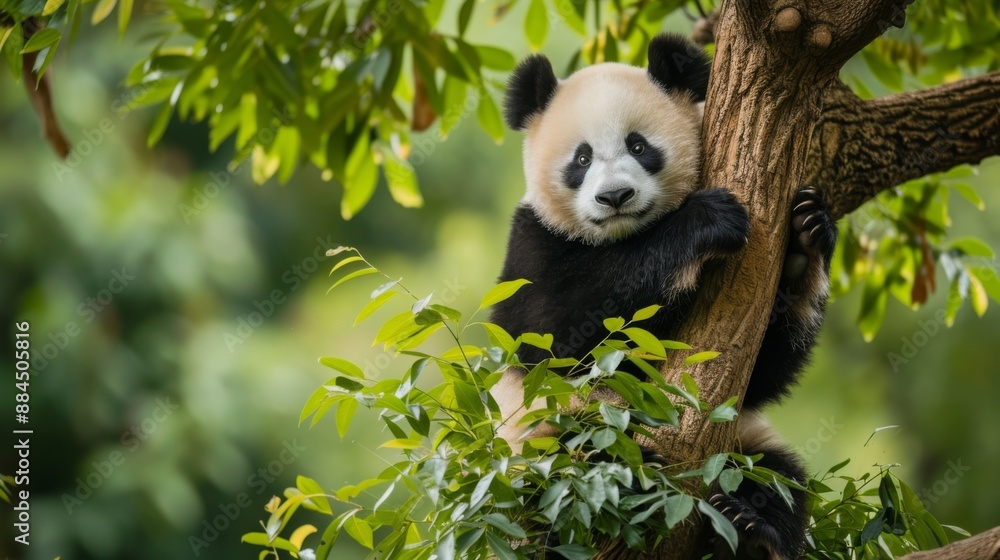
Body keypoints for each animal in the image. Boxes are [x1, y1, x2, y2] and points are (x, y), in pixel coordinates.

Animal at [488, 34, 837, 560]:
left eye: (638, 145)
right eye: (582, 159)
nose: (615, 197)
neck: (622, 237)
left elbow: (764, 374)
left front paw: (806, 235)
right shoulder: (531, 244)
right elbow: (552, 336)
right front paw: (705, 222)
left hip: (740, 440)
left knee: (776, 474)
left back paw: (754, 529)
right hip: (536, 453)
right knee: (571, 467)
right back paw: (631, 478)